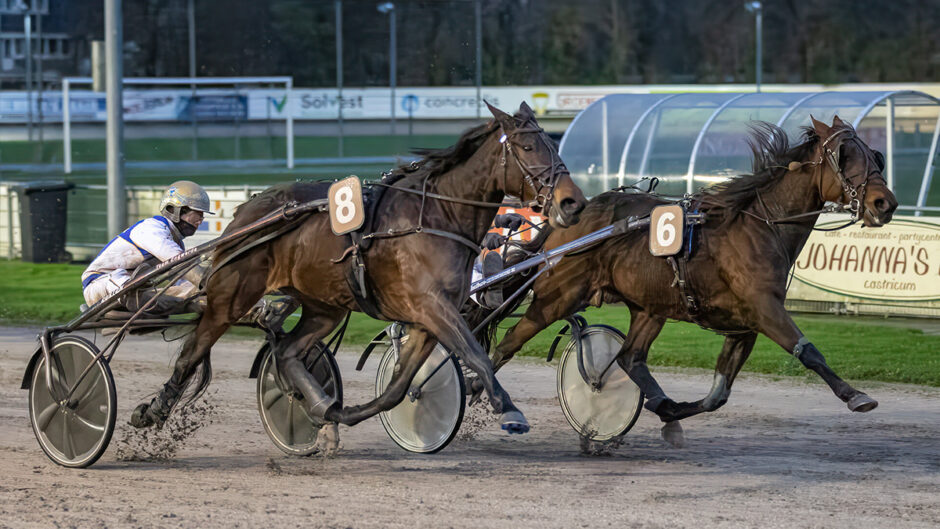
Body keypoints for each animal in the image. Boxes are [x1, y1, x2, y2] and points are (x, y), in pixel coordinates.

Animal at [130, 101, 588, 440]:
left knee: (288, 351)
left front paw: (344, 413)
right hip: (231, 297)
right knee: (192, 353)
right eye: (527, 148)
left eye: (552, 145)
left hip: (324, 304)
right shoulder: (432, 305)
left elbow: (397, 389)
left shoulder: (427, 318)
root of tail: (246, 212)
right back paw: (152, 410)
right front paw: (508, 409)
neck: (436, 216)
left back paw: (317, 403)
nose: (572, 202)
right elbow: (475, 353)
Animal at [484, 116, 896, 446]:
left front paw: (670, 413)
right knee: (508, 343)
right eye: (845, 155)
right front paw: (855, 395)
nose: (885, 203)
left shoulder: (744, 325)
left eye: (874, 155)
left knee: (630, 358)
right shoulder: (765, 308)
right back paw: (483, 391)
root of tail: (562, 224)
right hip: (558, 297)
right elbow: (808, 351)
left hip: (649, 308)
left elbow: (717, 395)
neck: (758, 225)